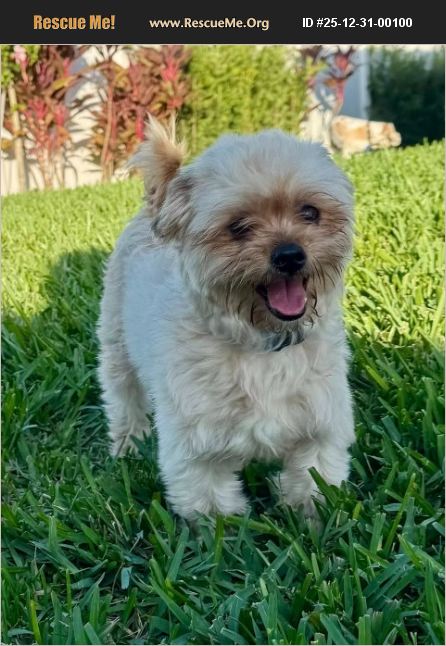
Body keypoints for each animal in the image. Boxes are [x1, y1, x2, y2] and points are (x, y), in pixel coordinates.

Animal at [97, 118, 355, 520]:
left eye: (310, 212)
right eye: (238, 227)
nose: (290, 254)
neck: (261, 343)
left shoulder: (321, 425)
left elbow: (312, 482)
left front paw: (312, 521)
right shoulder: (195, 448)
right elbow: (214, 509)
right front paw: (228, 535)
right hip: (116, 346)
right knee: (123, 396)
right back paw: (128, 444)